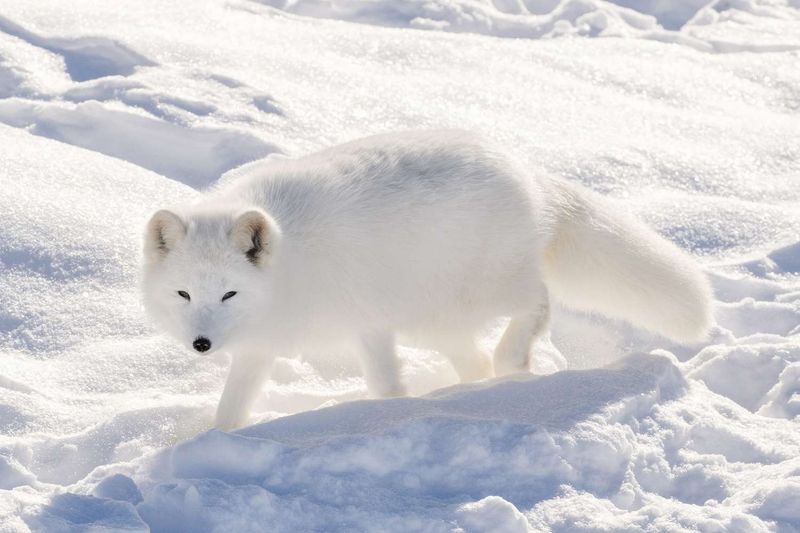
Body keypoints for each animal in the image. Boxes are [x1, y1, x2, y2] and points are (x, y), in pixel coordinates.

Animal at [142, 131, 712, 430]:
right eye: (184, 293)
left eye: (229, 292)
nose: (201, 344)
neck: (291, 265)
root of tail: (526, 173)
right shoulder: (261, 345)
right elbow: (231, 407)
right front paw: (211, 442)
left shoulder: (368, 322)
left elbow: (385, 384)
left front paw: (390, 414)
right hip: (434, 323)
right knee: (476, 360)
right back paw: (476, 390)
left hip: (479, 295)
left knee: (538, 305)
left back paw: (512, 363)